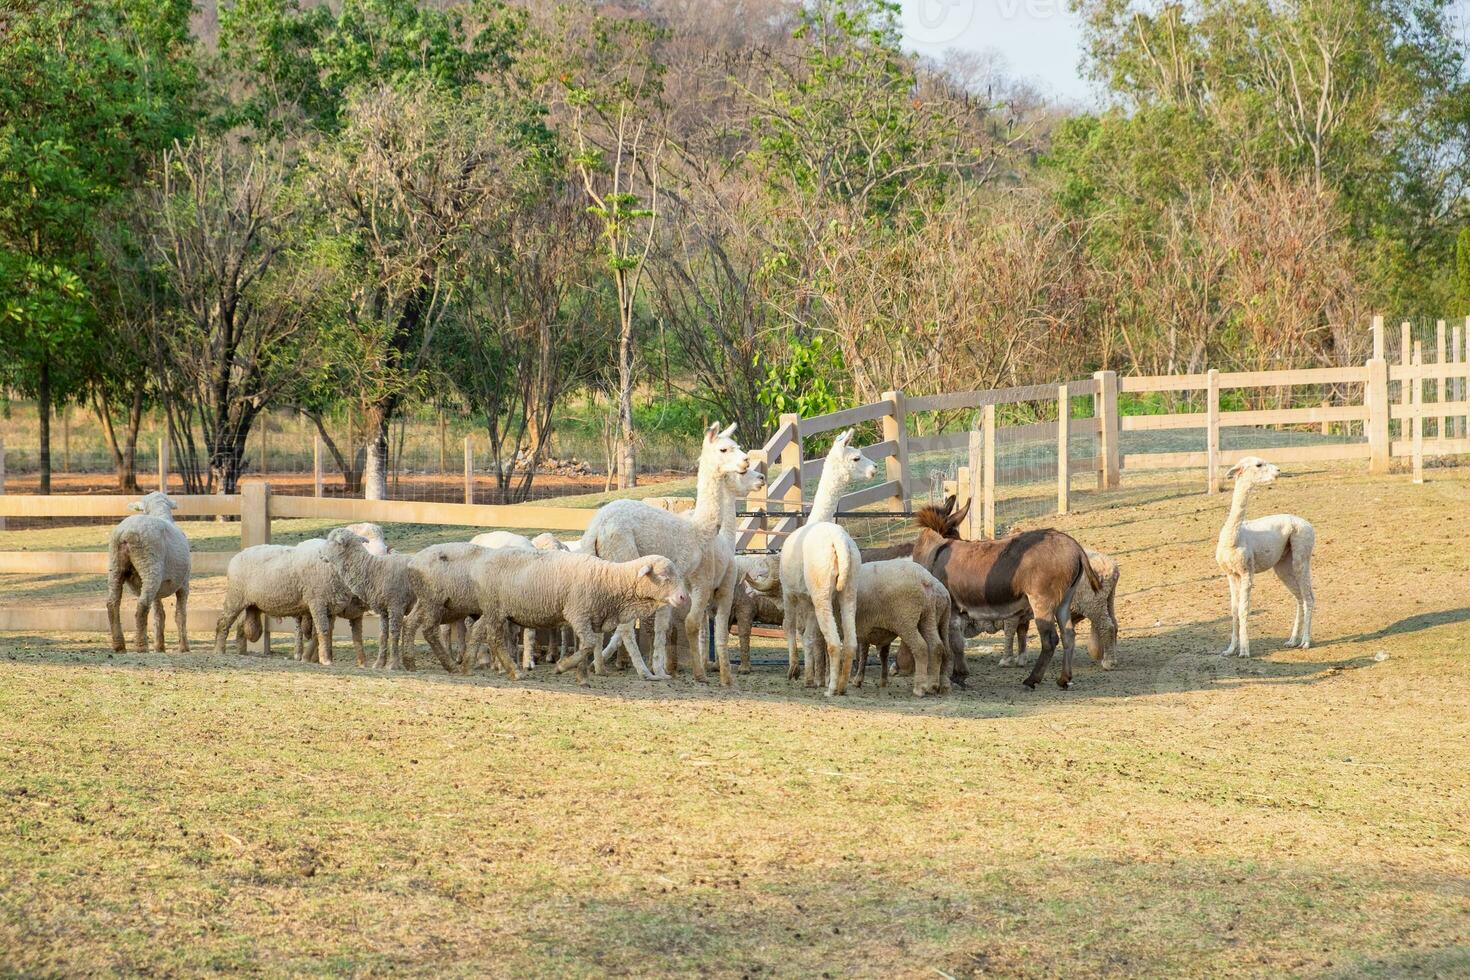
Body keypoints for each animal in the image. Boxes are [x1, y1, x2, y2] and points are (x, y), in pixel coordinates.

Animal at [106, 493, 191, 655]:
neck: (159, 512)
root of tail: (126, 533)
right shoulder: (184, 583)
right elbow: (180, 615)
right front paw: (184, 647)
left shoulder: (159, 589)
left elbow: (159, 615)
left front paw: (159, 647)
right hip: (150, 568)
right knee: (142, 605)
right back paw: (141, 645)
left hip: (115, 565)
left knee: (112, 603)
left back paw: (119, 645)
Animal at [318, 528, 414, 675]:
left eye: (332, 541)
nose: (319, 553)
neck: (374, 569)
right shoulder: (384, 610)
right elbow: (382, 635)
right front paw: (379, 664)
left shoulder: (396, 605)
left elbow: (394, 633)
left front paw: (393, 664)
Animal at [464, 555, 693, 687]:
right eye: (664, 577)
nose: (684, 598)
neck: (611, 580)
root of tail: (477, 567)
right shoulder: (578, 614)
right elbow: (590, 644)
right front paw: (562, 667)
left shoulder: (590, 619)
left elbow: (586, 646)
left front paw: (582, 678)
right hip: (495, 609)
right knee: (494, 638)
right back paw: (514, 672)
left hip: (491, 610)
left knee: (476, 630)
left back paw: (467, 664)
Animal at [782, 429, 870, 696]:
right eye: (856, 457)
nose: (874, 469)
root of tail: (839, 542)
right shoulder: (807, 599)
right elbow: (809, 637)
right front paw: (809, 677)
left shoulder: (789, 592)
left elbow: (790, 628)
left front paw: (795, 671)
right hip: (848, 589)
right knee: (850, 641)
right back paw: (841, 686)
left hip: (821, 590)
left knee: (834, 641)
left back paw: (830, 689)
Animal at [1217, 458, 1323, 658]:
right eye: (1258, 464)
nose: (1278, 471)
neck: (1233, 541)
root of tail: (1308, 524)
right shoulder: (1231, 574)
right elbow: (1234, 610)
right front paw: (1229, 650)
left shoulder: (1247, 572)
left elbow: (1243, 610)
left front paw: (1244, 651)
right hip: (1282, 565)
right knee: (1299, 597)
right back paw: (1292, 641)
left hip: (1302, 555)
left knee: (1309, 597)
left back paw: (1305, 642)